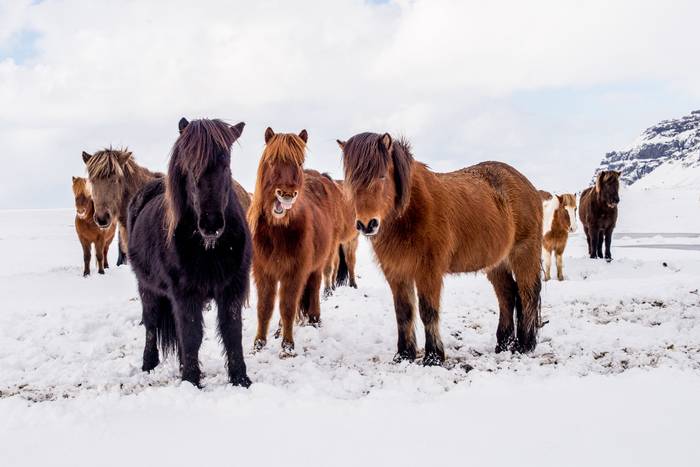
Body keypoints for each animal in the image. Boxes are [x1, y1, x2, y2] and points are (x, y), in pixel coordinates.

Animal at [127, 118, 251, 388]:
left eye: (226, 164)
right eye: (190, 167)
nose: (211, 224)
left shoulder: (232, 289)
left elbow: (232, 331)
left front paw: (241, 379)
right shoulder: (185, 294)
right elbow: (192, 334)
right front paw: (191, 382)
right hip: (147, 288)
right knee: (151, 325)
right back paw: (148, 365)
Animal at [249, 128, 351, 356]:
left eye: (300, 162)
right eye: (272, 160)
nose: (286, 194)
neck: (278, 231)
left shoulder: (295, 271)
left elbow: (288, 307)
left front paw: (287, 347)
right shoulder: (264, 271)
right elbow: (264, 308)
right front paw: (258, 344)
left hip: (317, 265)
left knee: (314, 289)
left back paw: (314, 320)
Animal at [337, 132, 543, 363]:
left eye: (381, 176)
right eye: (351, 180)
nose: (367, 224)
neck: (411, 212)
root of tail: (527, 185)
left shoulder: (429, 272)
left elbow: (428, 311)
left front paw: (433, 357)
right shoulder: (397, 272)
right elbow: (403, 312)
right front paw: (404, 355)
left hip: (524, 254)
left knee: (527, 295)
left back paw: (524, 346)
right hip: (497, 263)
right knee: (507, 295)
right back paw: (504, 345)